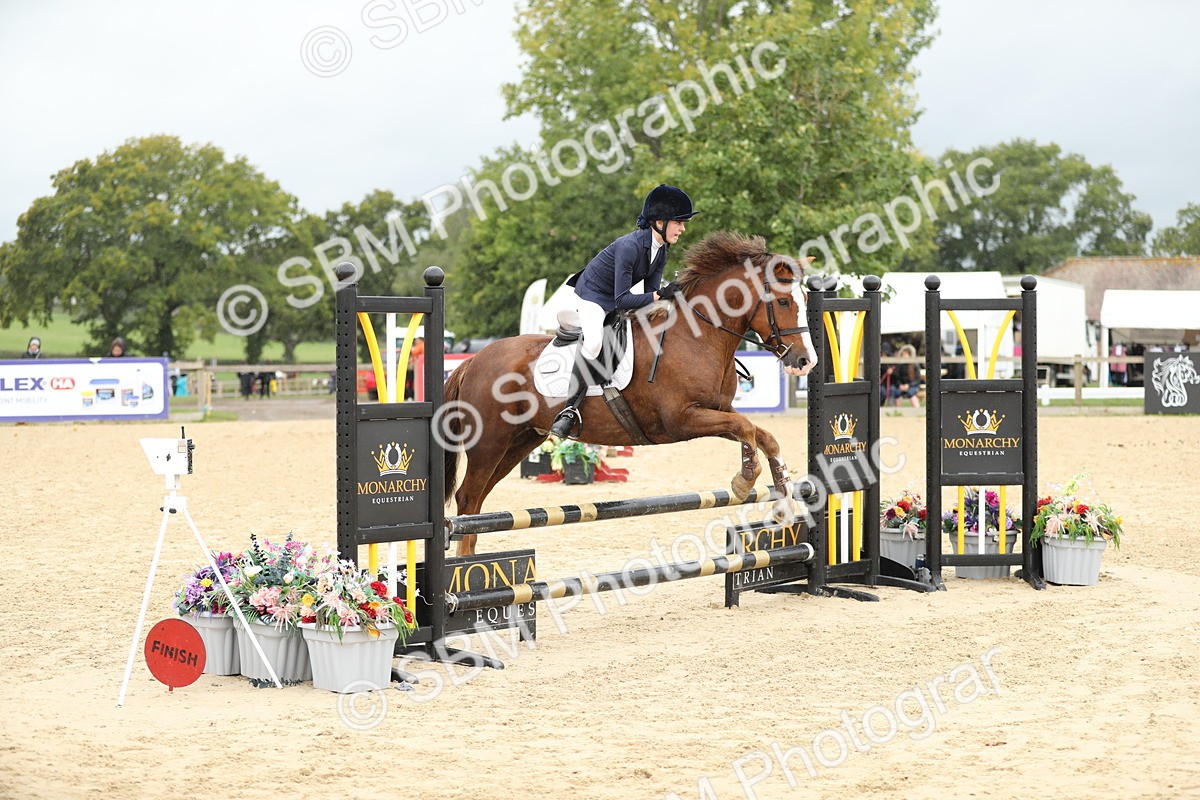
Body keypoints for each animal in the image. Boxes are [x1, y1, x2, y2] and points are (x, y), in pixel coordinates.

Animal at [443, 231, 818, 556]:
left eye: (804, 300)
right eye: (783, 301)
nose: (806, 361)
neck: (698, 336)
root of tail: (473, 361)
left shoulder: (716, 411)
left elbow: (762, 435)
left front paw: (784, 503)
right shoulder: (683, 420)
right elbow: (747, 430)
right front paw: (744, 480)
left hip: (520, 440)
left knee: (477, 503)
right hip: (489, 443)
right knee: (467, 498)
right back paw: (466, 571)